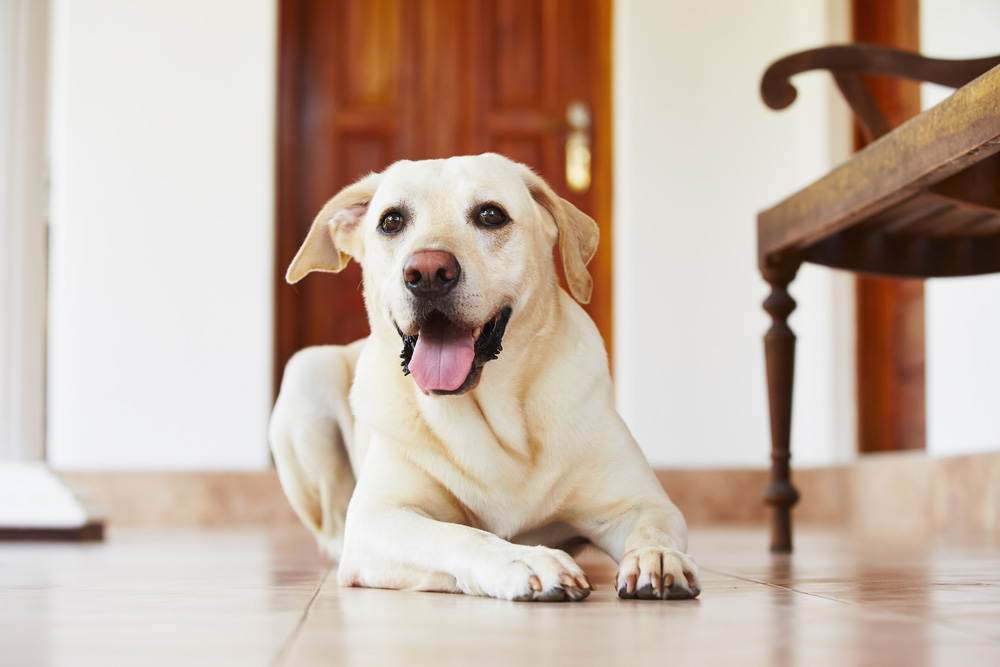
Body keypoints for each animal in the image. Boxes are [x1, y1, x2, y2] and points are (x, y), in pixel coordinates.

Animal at [270, 154, 700, 604]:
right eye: (391, 221)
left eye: (491, 215)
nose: (427, 272)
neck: (495, 417)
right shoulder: (378, 518)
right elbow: (458, 536)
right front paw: (527, 560)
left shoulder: (643, 504)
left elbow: (652, 528)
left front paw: (657, 556)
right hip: (306, 373)